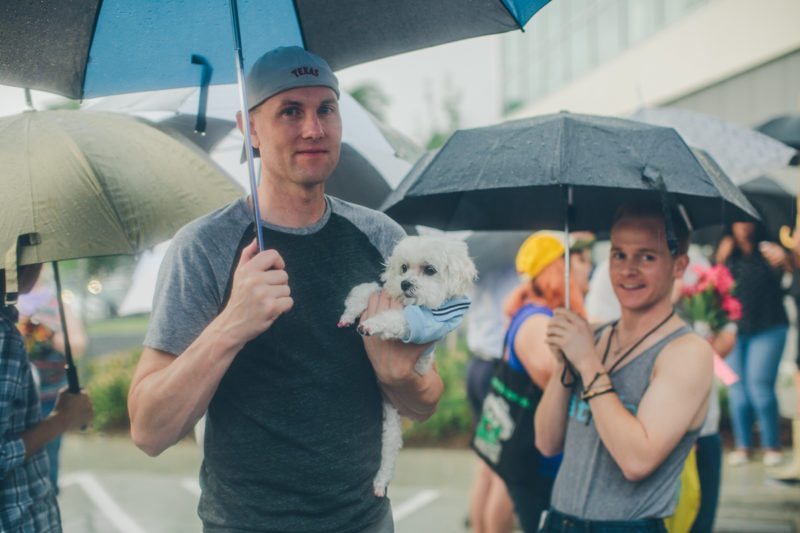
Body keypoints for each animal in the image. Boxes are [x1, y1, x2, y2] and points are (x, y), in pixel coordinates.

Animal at [336, 235, 476, 496]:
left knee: (390, 453)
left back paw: (380, 483)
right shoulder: (383, 291)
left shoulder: (422, 323)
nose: (404, 283)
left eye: (429, 270)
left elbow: (396, 318)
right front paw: (349, 314)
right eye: (403, 268)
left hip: (392, 423)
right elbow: (366, 290)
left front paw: (371, 325)